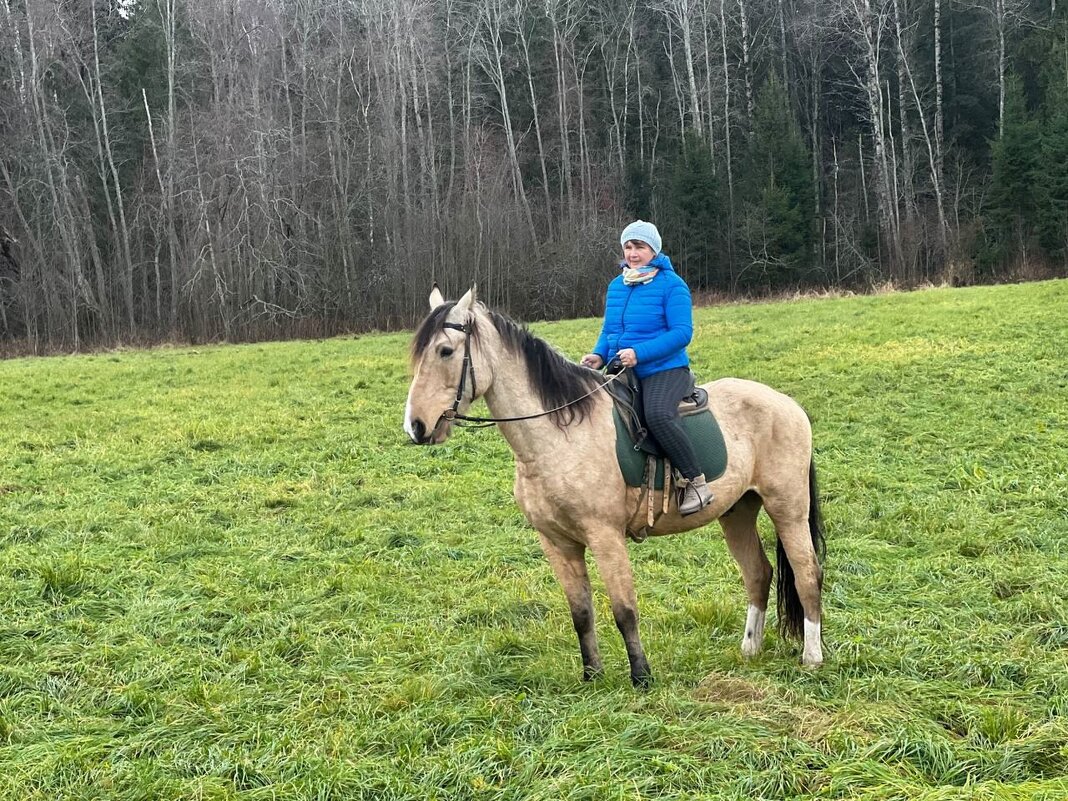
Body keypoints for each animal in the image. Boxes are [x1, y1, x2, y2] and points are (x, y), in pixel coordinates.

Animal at [401, 286, 824, 687]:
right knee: (758, 574)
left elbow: (624, 610)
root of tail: (787, 404)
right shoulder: (557, 543)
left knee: (807, 573)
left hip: (787, 509)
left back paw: (813, 656)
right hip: (736, 512)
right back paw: (749, 650)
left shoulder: (605, 536)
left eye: (445, 351)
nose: (416, 427)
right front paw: (592, 675)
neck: (559, 436)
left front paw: (641, 677)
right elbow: (581, 613)